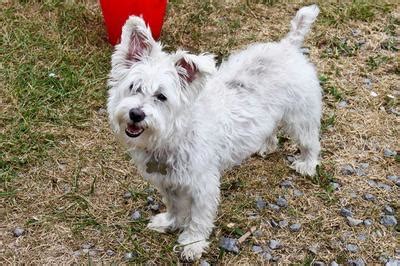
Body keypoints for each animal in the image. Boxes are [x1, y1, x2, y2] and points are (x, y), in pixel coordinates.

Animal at [106, 4, 322, 260]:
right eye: (134, 87)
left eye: (161, 96)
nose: (136, 114)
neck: (177, 133)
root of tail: (287, 45)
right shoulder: (168, 182)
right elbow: (174, 206)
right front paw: (170, 222)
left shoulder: (203, 185)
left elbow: (199, 218)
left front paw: (192, 243)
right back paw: (266, 146)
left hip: (301, 117)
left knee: (310, 142)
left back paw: (307, 164)